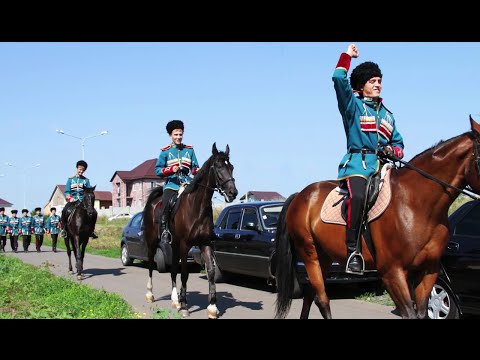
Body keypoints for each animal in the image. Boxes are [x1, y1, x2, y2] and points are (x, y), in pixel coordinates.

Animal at [143, 143, 239, 318]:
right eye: (219, 166)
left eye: (232, 167)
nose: (232, 193)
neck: (197, 207)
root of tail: (154, 201)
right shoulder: (184, 245)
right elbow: (185, 273)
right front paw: (184, 306)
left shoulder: (205, 243)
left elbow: (211, 272)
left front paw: (212, 307)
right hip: (153, 242)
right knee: (152, 265)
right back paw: (150, 294)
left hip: (173, 245)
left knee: (173, 269)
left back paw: (175, 299)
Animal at [276, 116, 480, 320]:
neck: (417, 205)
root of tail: (301, 195)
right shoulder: (392, 273)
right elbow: (409, 313)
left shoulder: (428, 271)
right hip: (310, 254)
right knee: (322, 299)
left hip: (324, 256)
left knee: (310, 296)